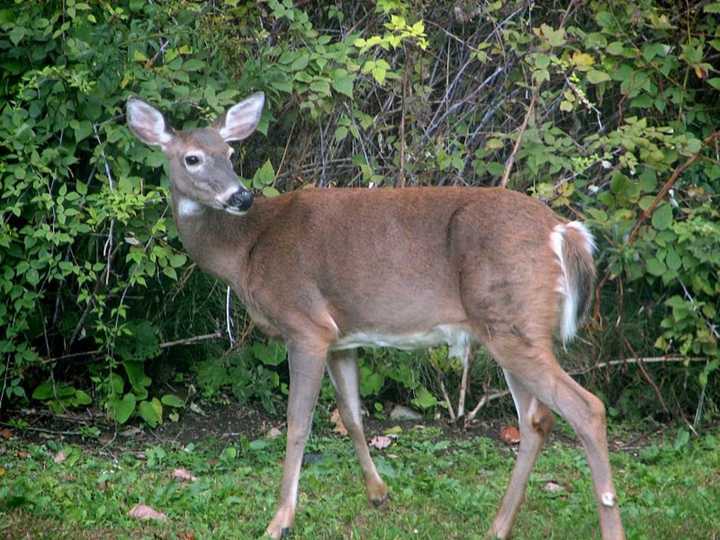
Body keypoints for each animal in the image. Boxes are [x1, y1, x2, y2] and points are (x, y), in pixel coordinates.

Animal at [128, 94, 624, 540]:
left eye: (230, 154)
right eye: (193, 157)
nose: (240, 195)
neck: (247, 250)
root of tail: (564, 232)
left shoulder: (304, 323)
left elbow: (297, 423)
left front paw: (280, 521)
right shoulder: (340, 336)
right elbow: (351, 414)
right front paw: (378, 493)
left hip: (513, 322)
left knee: (587, 408)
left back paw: (606, 527)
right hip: (508, 328)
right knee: (536, 421)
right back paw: (497, 527)